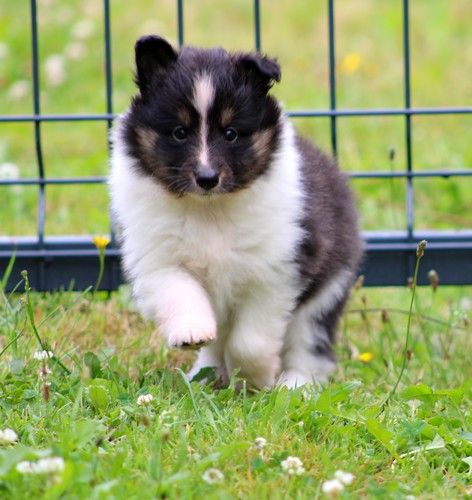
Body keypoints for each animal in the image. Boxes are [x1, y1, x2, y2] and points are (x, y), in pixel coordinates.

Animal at [109, 35, 362, 388]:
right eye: (179, 132)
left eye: (230, 133)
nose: (207, 178)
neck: (209, 209)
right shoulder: (158, 259)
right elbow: (179, 292)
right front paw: (192, 332)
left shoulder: (277, 271)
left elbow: (250, 341)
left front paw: (257, 378)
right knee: (217, 346)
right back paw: (205, 376)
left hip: (326, 290)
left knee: (310, 346)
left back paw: (295, 386)